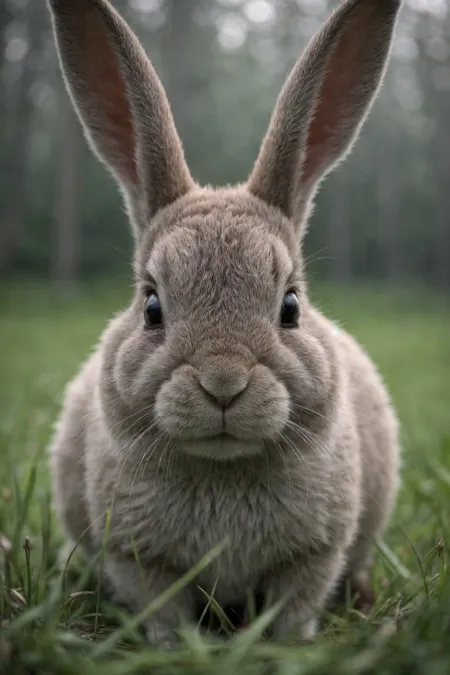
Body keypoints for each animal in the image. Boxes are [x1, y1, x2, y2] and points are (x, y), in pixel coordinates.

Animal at [47, 0, 402, 648]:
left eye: (290, 307)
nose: (223, 383)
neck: (223, 464)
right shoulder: (139, 560)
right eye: (152, 307)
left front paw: (289, 644)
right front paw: (173, 648)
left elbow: (295, 605)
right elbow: (161, 610)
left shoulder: (315, 555)